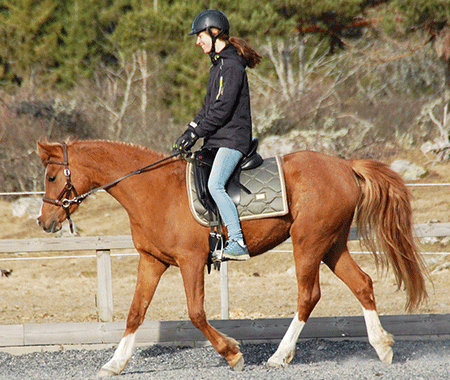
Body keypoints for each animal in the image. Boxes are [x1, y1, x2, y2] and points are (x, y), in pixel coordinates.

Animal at [36, 139, 428, 374]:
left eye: (53, 177)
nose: (44, 222)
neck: (154, 189)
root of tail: (345, 166)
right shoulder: (152, 260)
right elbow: (135, 312)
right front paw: (114, 363)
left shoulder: (191, 261)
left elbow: (196, 313)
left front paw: (232, 353)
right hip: (332, 245)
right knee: (362, 284)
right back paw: (383, 347)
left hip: (308, 243)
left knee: (308, 295)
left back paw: (279, 356)